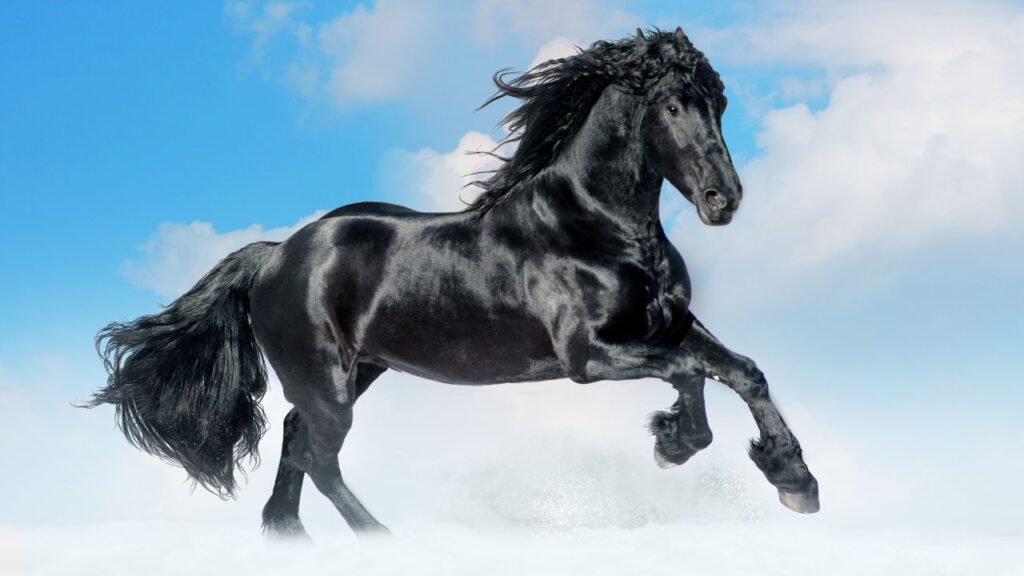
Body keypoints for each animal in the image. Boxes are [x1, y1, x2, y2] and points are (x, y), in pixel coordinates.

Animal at [86, 27, 819, 538]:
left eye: (719, 103)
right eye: (671, 105)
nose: (724, 200)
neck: (597, 227)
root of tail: (274, 255)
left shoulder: (668, 326)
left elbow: (744, 372)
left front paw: (795, 480)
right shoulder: (588, 356)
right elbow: (691, 374)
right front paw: (673, 445)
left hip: (358, 370)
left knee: (296, 439)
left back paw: (288, 534)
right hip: (328, 380)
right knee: (319, 456)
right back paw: (382, 537)